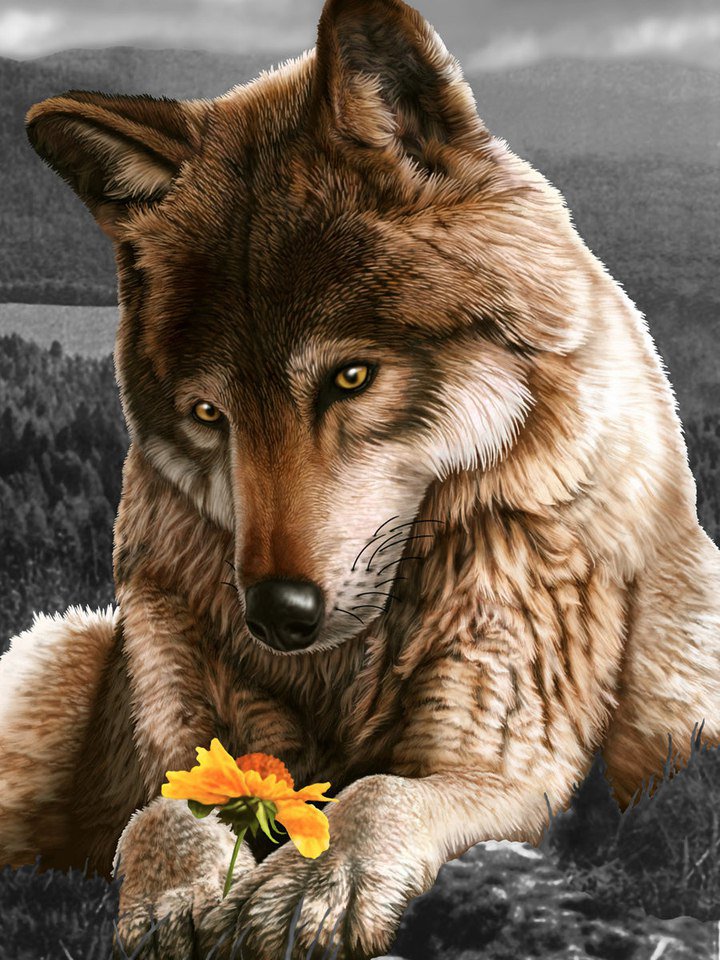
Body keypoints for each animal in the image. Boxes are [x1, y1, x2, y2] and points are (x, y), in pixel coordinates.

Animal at [2, 0, 719, 957]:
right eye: (210, 414)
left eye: (350, 377)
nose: (275, 615)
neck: (346, 669)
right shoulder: (184, 733)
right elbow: (165, 813)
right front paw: (175, 900)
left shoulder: (504, 761)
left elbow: (379, 792)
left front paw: (315, 883)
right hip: (52, 656)